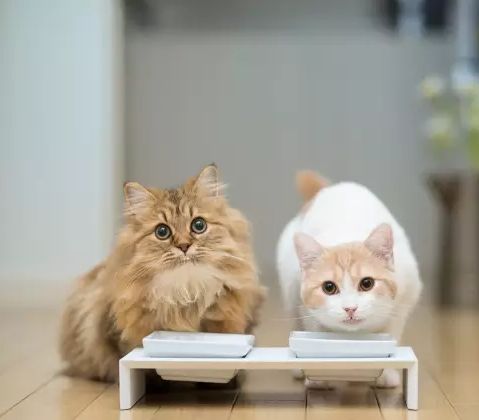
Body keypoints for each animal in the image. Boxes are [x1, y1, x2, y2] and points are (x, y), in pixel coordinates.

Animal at [277, 171, 422, 388]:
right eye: (329, 287)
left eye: (367, 283)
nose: (350, 308)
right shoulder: (304, 306)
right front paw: (319, 377)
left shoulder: (405, 298)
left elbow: (391, 335)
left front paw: (386, 372)